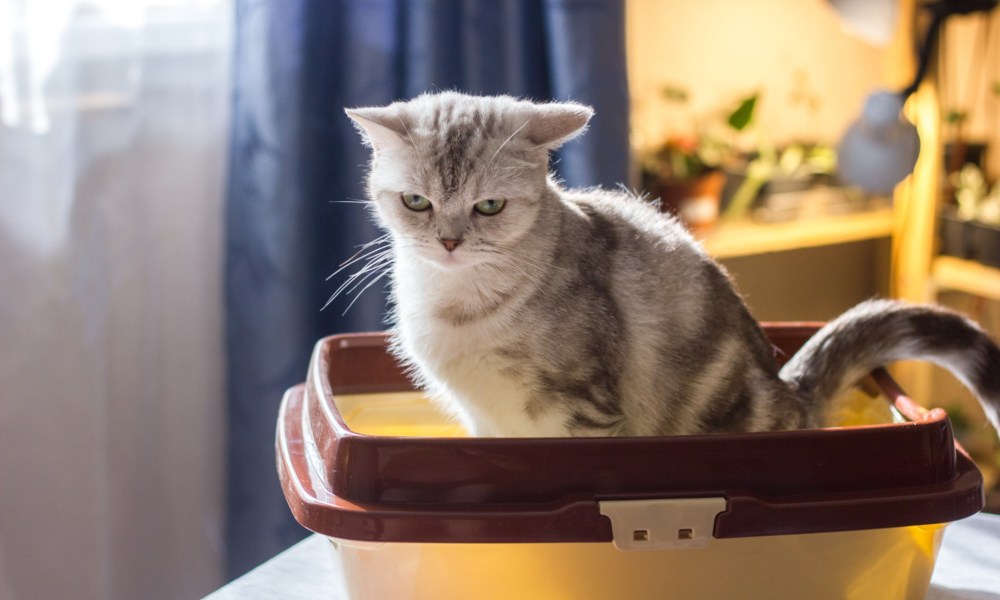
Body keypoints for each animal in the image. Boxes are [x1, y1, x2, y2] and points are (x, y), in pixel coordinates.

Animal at [346, 90, 1000, 436]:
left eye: (488, 206)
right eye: (416, 202)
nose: (449, 241)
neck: (456, 305)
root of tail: (792, 393)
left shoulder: (584, 408)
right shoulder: (485, 422)